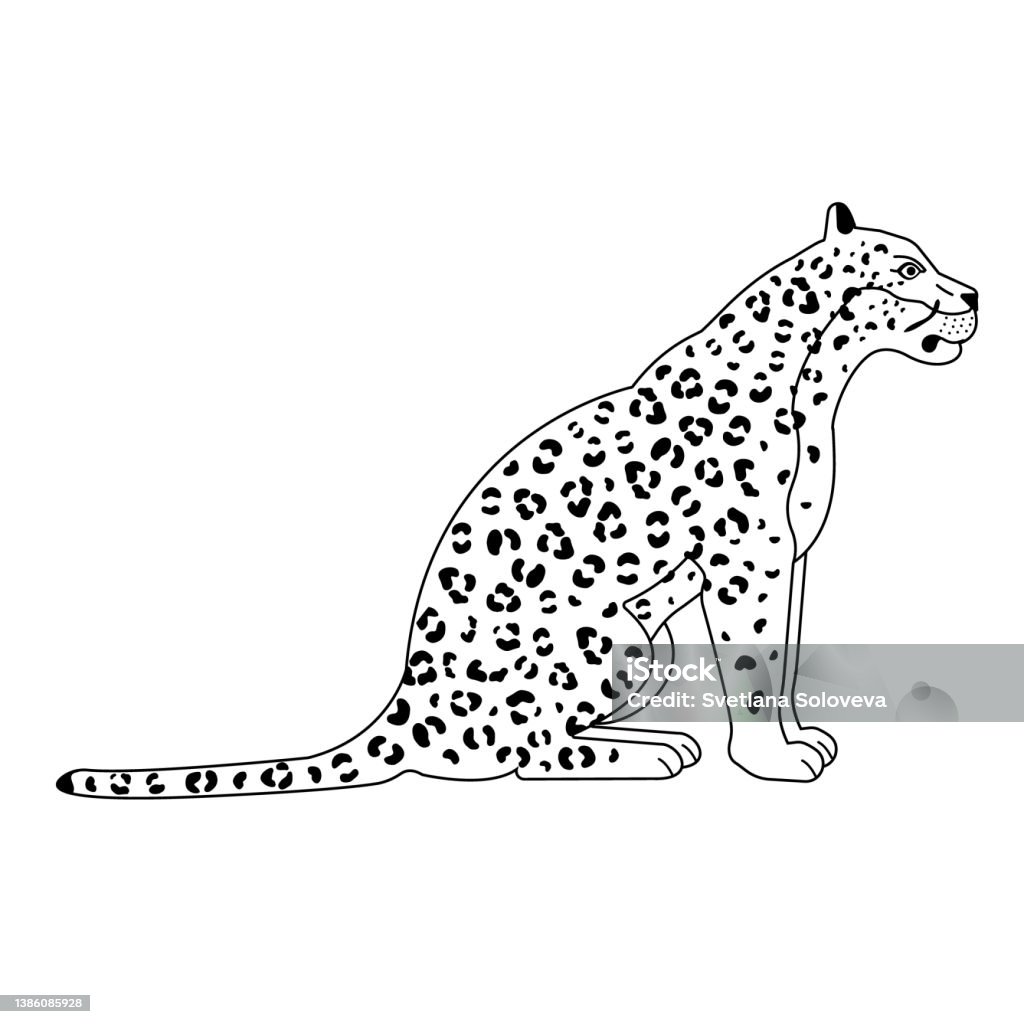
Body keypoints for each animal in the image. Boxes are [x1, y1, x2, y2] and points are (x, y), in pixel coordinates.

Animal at [57, 203, 978, 796]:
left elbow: (782, 662)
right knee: (534, 751)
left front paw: (797, 737)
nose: (972, 294)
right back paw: (653, 753)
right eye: (909, 268)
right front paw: (773, 761)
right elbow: (754, 670)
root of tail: (406, 703)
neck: (816, 385)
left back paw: (652, 736)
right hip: (598, 635)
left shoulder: (787, 560)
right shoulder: (745, 563)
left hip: (649, 642)